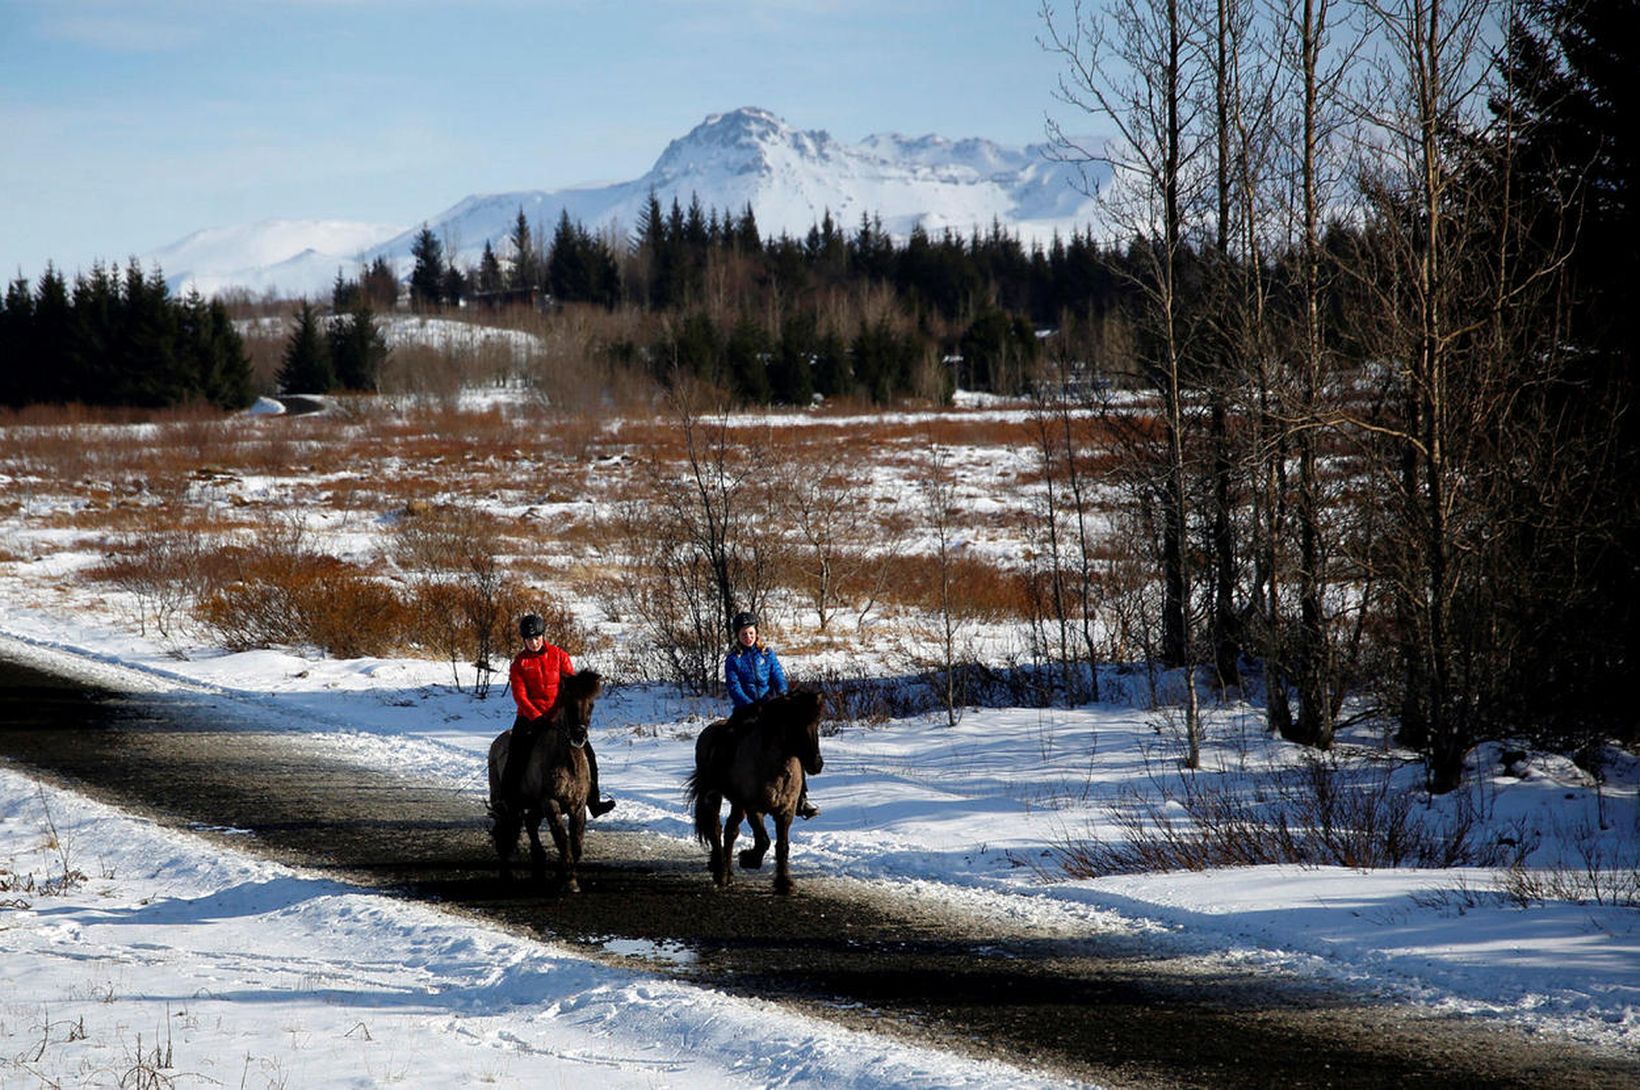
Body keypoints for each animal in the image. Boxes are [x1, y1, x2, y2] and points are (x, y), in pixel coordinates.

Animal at [492, 668, 610, 891]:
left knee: (529, 823)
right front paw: (569, 881)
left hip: (535, 806)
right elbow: (562, 839)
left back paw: (538, 865)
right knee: (506, 829)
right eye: (569, 703)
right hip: (505, 800)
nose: (579, 736)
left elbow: (576, 842)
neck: (567, 761)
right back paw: (506, 874)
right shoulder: (550, 802)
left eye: (591, 704)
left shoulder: (577, 806)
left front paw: (562, 875)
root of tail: (498, 741)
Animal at [682, 688, 826, 891]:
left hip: (737, 805)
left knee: (730, 831)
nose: (816, 764)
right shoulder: (753, 808)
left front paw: (784, 882)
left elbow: (782, 846)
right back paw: (720, 872)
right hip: (717, 798)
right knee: (717, 829)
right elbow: (763, 840)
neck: (773, 768)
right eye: (795, 721)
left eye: (817, 722)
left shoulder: (786, 812)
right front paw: (749, 859)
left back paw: (727, 872)